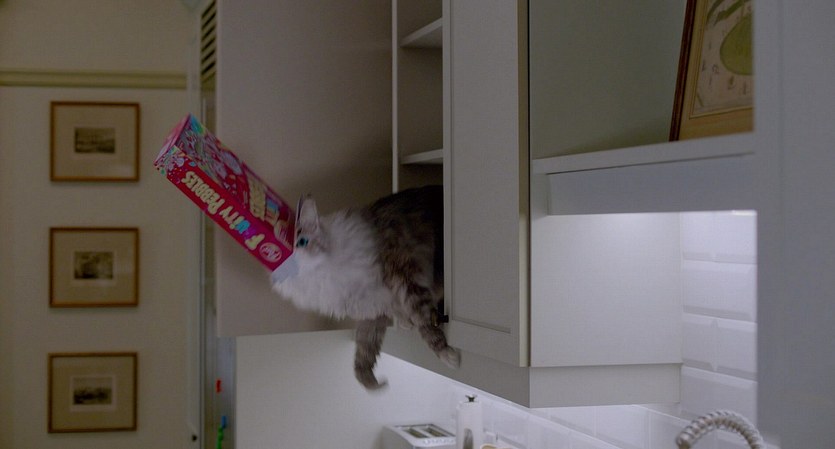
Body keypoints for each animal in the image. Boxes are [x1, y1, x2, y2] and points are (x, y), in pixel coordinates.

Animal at [271, 185, 460, 389]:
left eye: (302, 242)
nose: (292, 264)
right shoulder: (372, 309)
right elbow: (364, 349)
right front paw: (372, 383)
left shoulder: (404, 277)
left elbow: (425, 321)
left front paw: (447, 354)